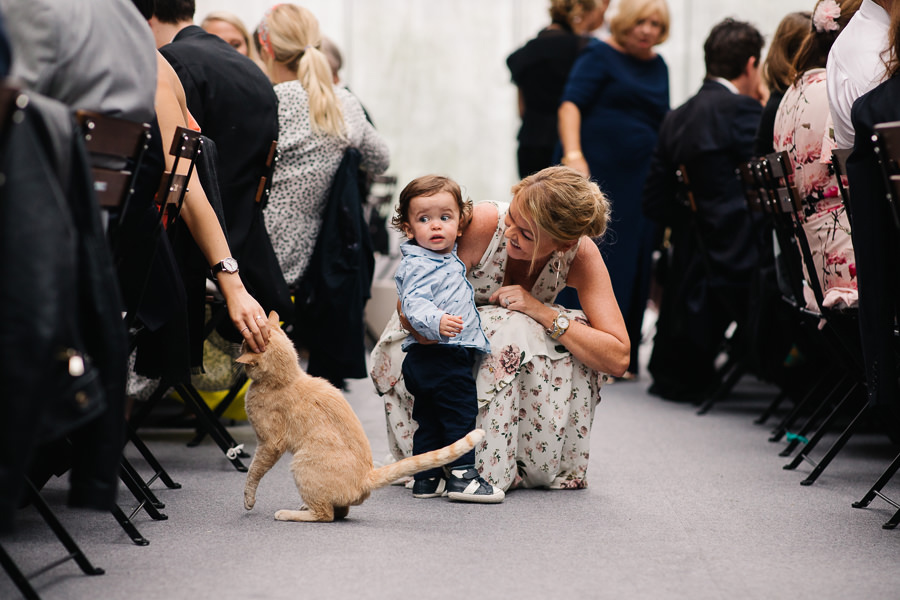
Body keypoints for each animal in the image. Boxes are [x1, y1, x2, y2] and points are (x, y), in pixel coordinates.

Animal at [234, 312, 486, 524]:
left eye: (244, 346)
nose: (237, 347)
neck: (287, 379)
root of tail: (367, 476)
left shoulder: (269, 444)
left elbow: (253, 472)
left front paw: (248, 500)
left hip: (300, 464)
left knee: (325, 515)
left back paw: (290, 513)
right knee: (340, 511)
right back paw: (305, 507)